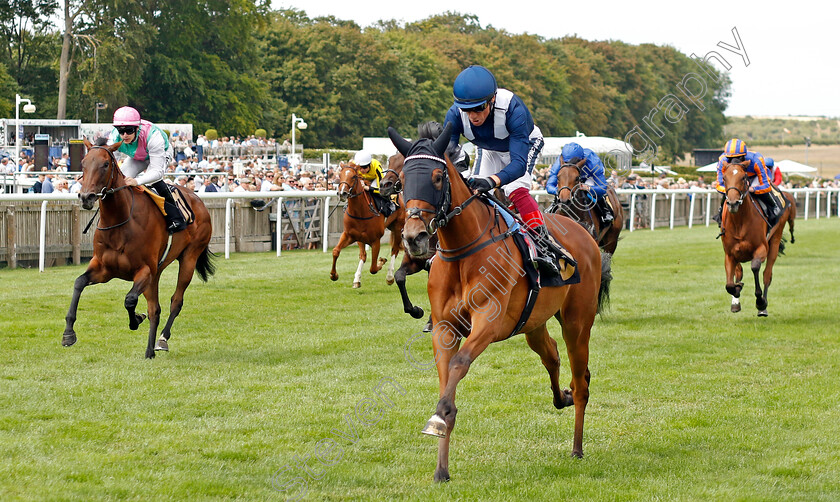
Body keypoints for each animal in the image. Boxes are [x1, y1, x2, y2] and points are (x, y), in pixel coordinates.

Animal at [62, 138, 213, 356]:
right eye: (83, 163)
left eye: (105, 164)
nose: (86, 197)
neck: (120, 222)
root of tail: (198, 199)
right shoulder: (105, 269)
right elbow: (79, 282)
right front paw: (68, 333)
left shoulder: (144, 270)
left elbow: (130, 299)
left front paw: (136, 320)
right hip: (157, 272)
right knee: (155, 309)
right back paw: (150, 350)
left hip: (189, 258)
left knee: (175, 301)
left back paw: (161, 340)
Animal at [388, 125, 612, 482]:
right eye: (403, 181)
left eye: (437, 177)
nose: (414, 237)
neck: (463, 250)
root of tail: (583, 233)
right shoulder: (445, 328)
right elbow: (446, 379)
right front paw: (441, 468)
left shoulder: (488, 323)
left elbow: (459, 364)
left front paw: (438, 419)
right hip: (534, 322)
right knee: (551, 355)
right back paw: (560, 397)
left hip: (577, 323)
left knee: (581, 382)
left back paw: (577, 446)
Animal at [720, 159, 796, 316]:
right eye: (724, 178)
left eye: (743, 178)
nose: (732, 203)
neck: (739, 222)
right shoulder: (730, 254)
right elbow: (730, 284)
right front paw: (737, 291)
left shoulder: (761, 248)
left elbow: (755, 267)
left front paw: (760, 301)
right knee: (739, 272)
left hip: (776, 238)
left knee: (767, 274)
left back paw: (763, 307)